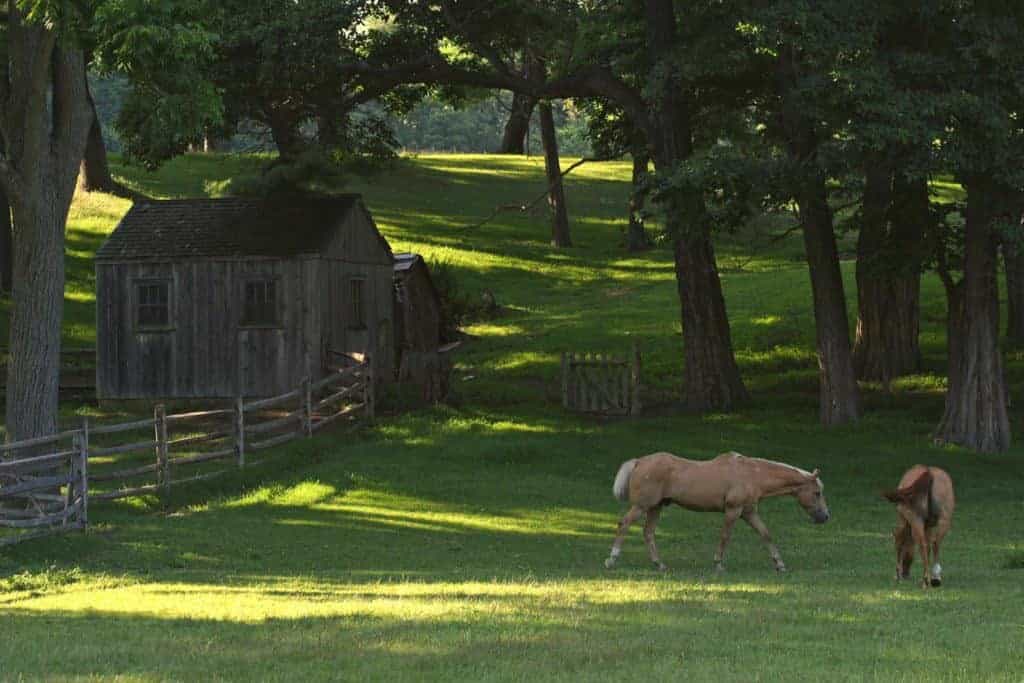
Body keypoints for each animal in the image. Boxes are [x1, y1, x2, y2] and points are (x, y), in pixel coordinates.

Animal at [604, 451, 830, 573]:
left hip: (655, 507)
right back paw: (612, 559)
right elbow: (725, 536)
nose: (825, 517)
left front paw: (779, 564)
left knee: (648, 533)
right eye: (817, 493)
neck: (752, 474)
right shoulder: (733, 510)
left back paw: (659, 564)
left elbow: (766, 534)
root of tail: (639, 461)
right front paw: (719, 564)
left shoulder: (749, 512)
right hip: (642, 506)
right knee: (624, 524)